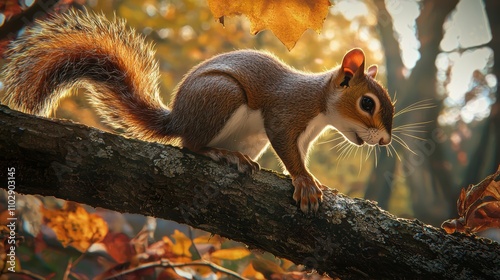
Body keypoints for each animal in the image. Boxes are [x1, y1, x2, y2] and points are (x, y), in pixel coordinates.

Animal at [2, 10, 394, 212]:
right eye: (367, 103)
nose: (385, 142)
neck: (319, 104)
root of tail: (178, 117)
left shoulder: (305, 136)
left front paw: (317, 181)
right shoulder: (285, 113)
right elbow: (287, 148)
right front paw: (305, 182)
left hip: (248, 137)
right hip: (222, 97)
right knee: (189, 145)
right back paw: (219, 154)